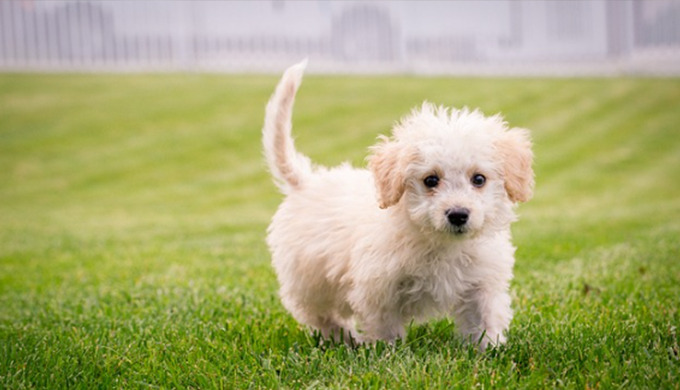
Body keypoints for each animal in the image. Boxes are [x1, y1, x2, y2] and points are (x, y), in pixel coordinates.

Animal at [262, 61, 532, 350]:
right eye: (431, 180)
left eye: (479, 179)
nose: (458, 214)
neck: (440, 243)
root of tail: (306, 181)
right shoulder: (378, 289)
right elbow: (385, 328)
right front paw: (387, 352)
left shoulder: (482, 284)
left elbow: (484, 321)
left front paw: (489, 350)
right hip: (309, 281)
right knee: (320, 315)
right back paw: (346, 339)